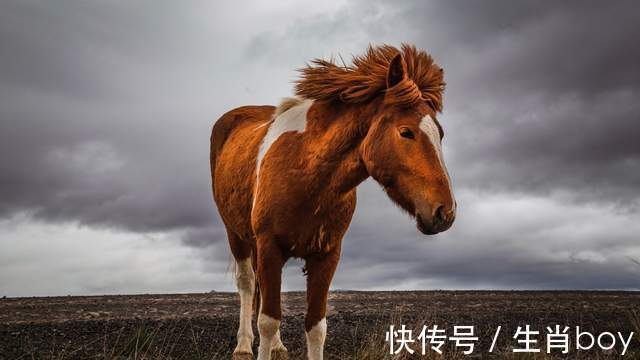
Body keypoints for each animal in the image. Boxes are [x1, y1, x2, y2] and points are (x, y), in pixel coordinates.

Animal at [210, 43, 456, 358]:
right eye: (406, 132)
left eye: (441, 134)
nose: (445, 212)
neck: (307, 172)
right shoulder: (269, 246)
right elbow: (267, 320)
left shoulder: (327, 254)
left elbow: (316, 326)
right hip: (237, 235)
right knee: (248, 284)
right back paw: (242, 346)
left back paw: (278, 346)